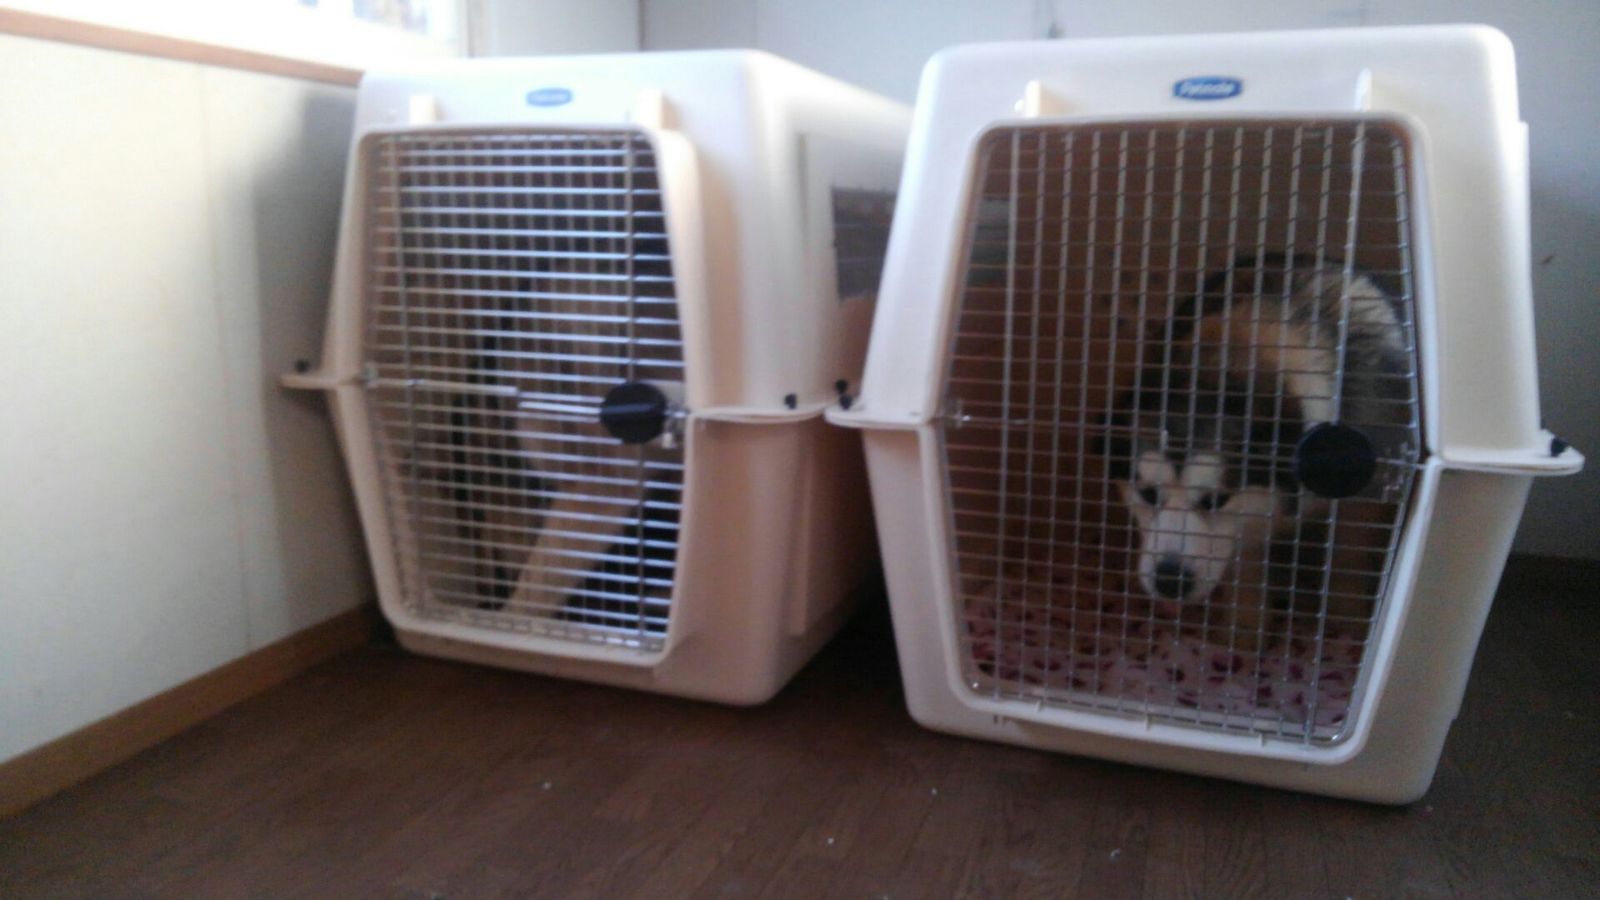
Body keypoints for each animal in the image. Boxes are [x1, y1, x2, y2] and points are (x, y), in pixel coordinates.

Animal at [1102, 255, 1412, 647]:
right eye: (1147, 494)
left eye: (1216, 500)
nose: (1170, 581)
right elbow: (1248, 559)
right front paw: (1245, 630)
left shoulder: (1365, 493)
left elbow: (1350, 549)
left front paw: (1349, 618)